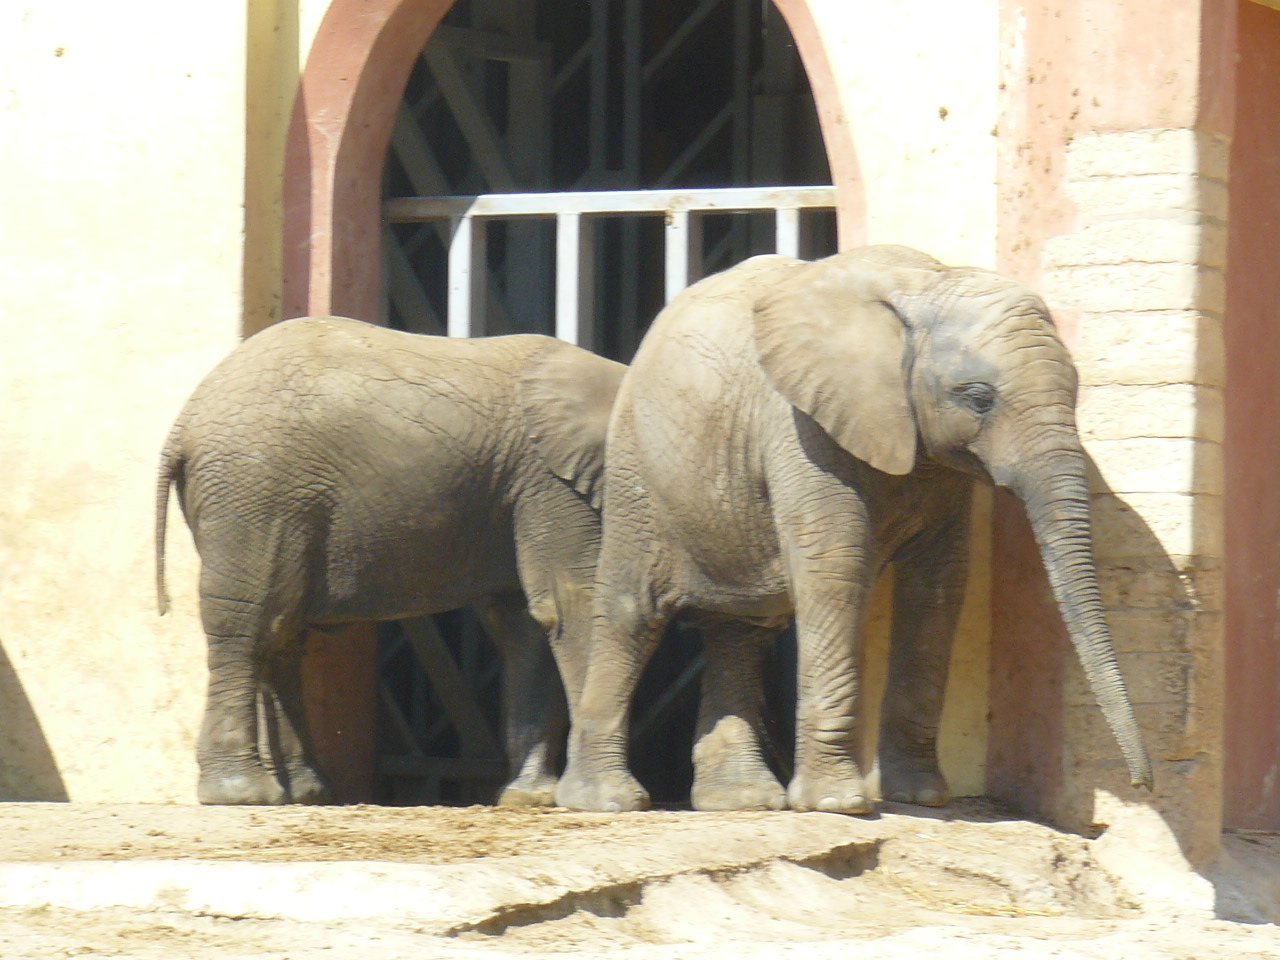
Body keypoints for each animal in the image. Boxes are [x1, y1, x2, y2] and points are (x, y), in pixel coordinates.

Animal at [156, 315, 625, 806]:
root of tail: (183, 425)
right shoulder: (550, 481)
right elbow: (571, 604)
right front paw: (600, 800)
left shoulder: (523, 488)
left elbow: (528, 624)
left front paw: (531, 799)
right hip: (254, 490)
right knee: (249, 626)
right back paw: (244, 794)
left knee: (280, 630)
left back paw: (306, 792)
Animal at [554, 245, 1154, 814]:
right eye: (979, 398)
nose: (1142, 784)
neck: (927, 284)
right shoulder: (802, 429)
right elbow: (835, 570)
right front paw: (838, 805)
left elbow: (939, 584)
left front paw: (920, 798)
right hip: (637, 470)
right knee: (631, 613)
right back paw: (606, 802)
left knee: (739, 629)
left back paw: (741, 801)